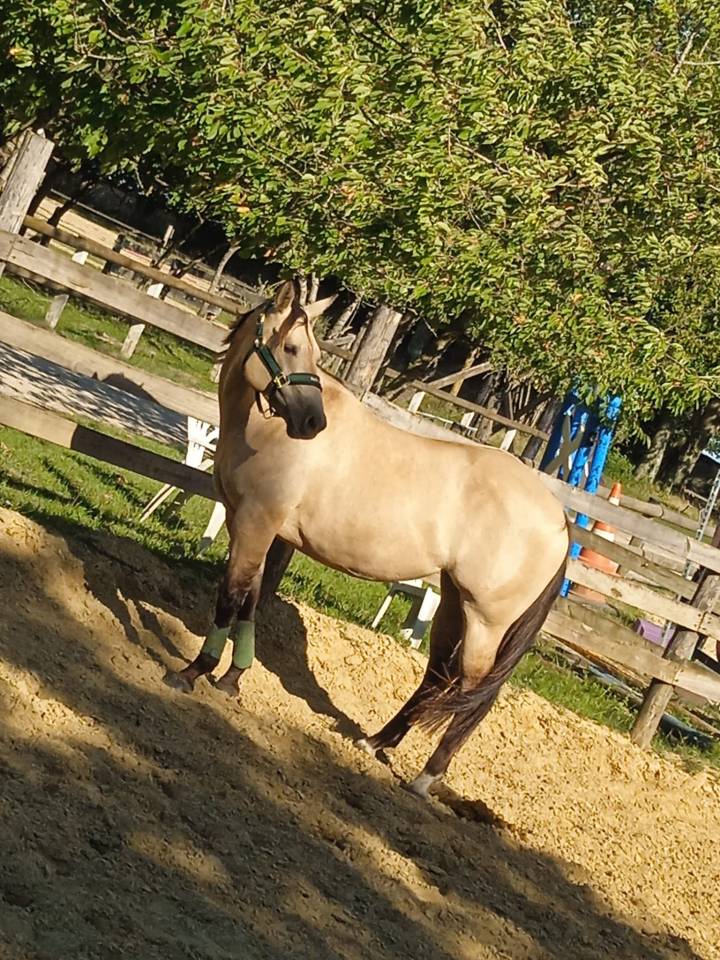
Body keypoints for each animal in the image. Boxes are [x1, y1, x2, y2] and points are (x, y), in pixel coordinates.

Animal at [166, 279, 569, 798]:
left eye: (311, 352)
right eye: (292, 347)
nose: (311, 424)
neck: (265, 429)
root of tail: (559, 520)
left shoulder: (257, 523)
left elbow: (230, 597)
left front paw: (194, 672)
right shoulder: (250, 524)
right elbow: (251, 600)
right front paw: (232, 679)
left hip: (486, 621)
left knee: (473, 695)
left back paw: (424, 778)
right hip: (453, 600)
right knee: (436, 676)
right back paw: (376, 742)